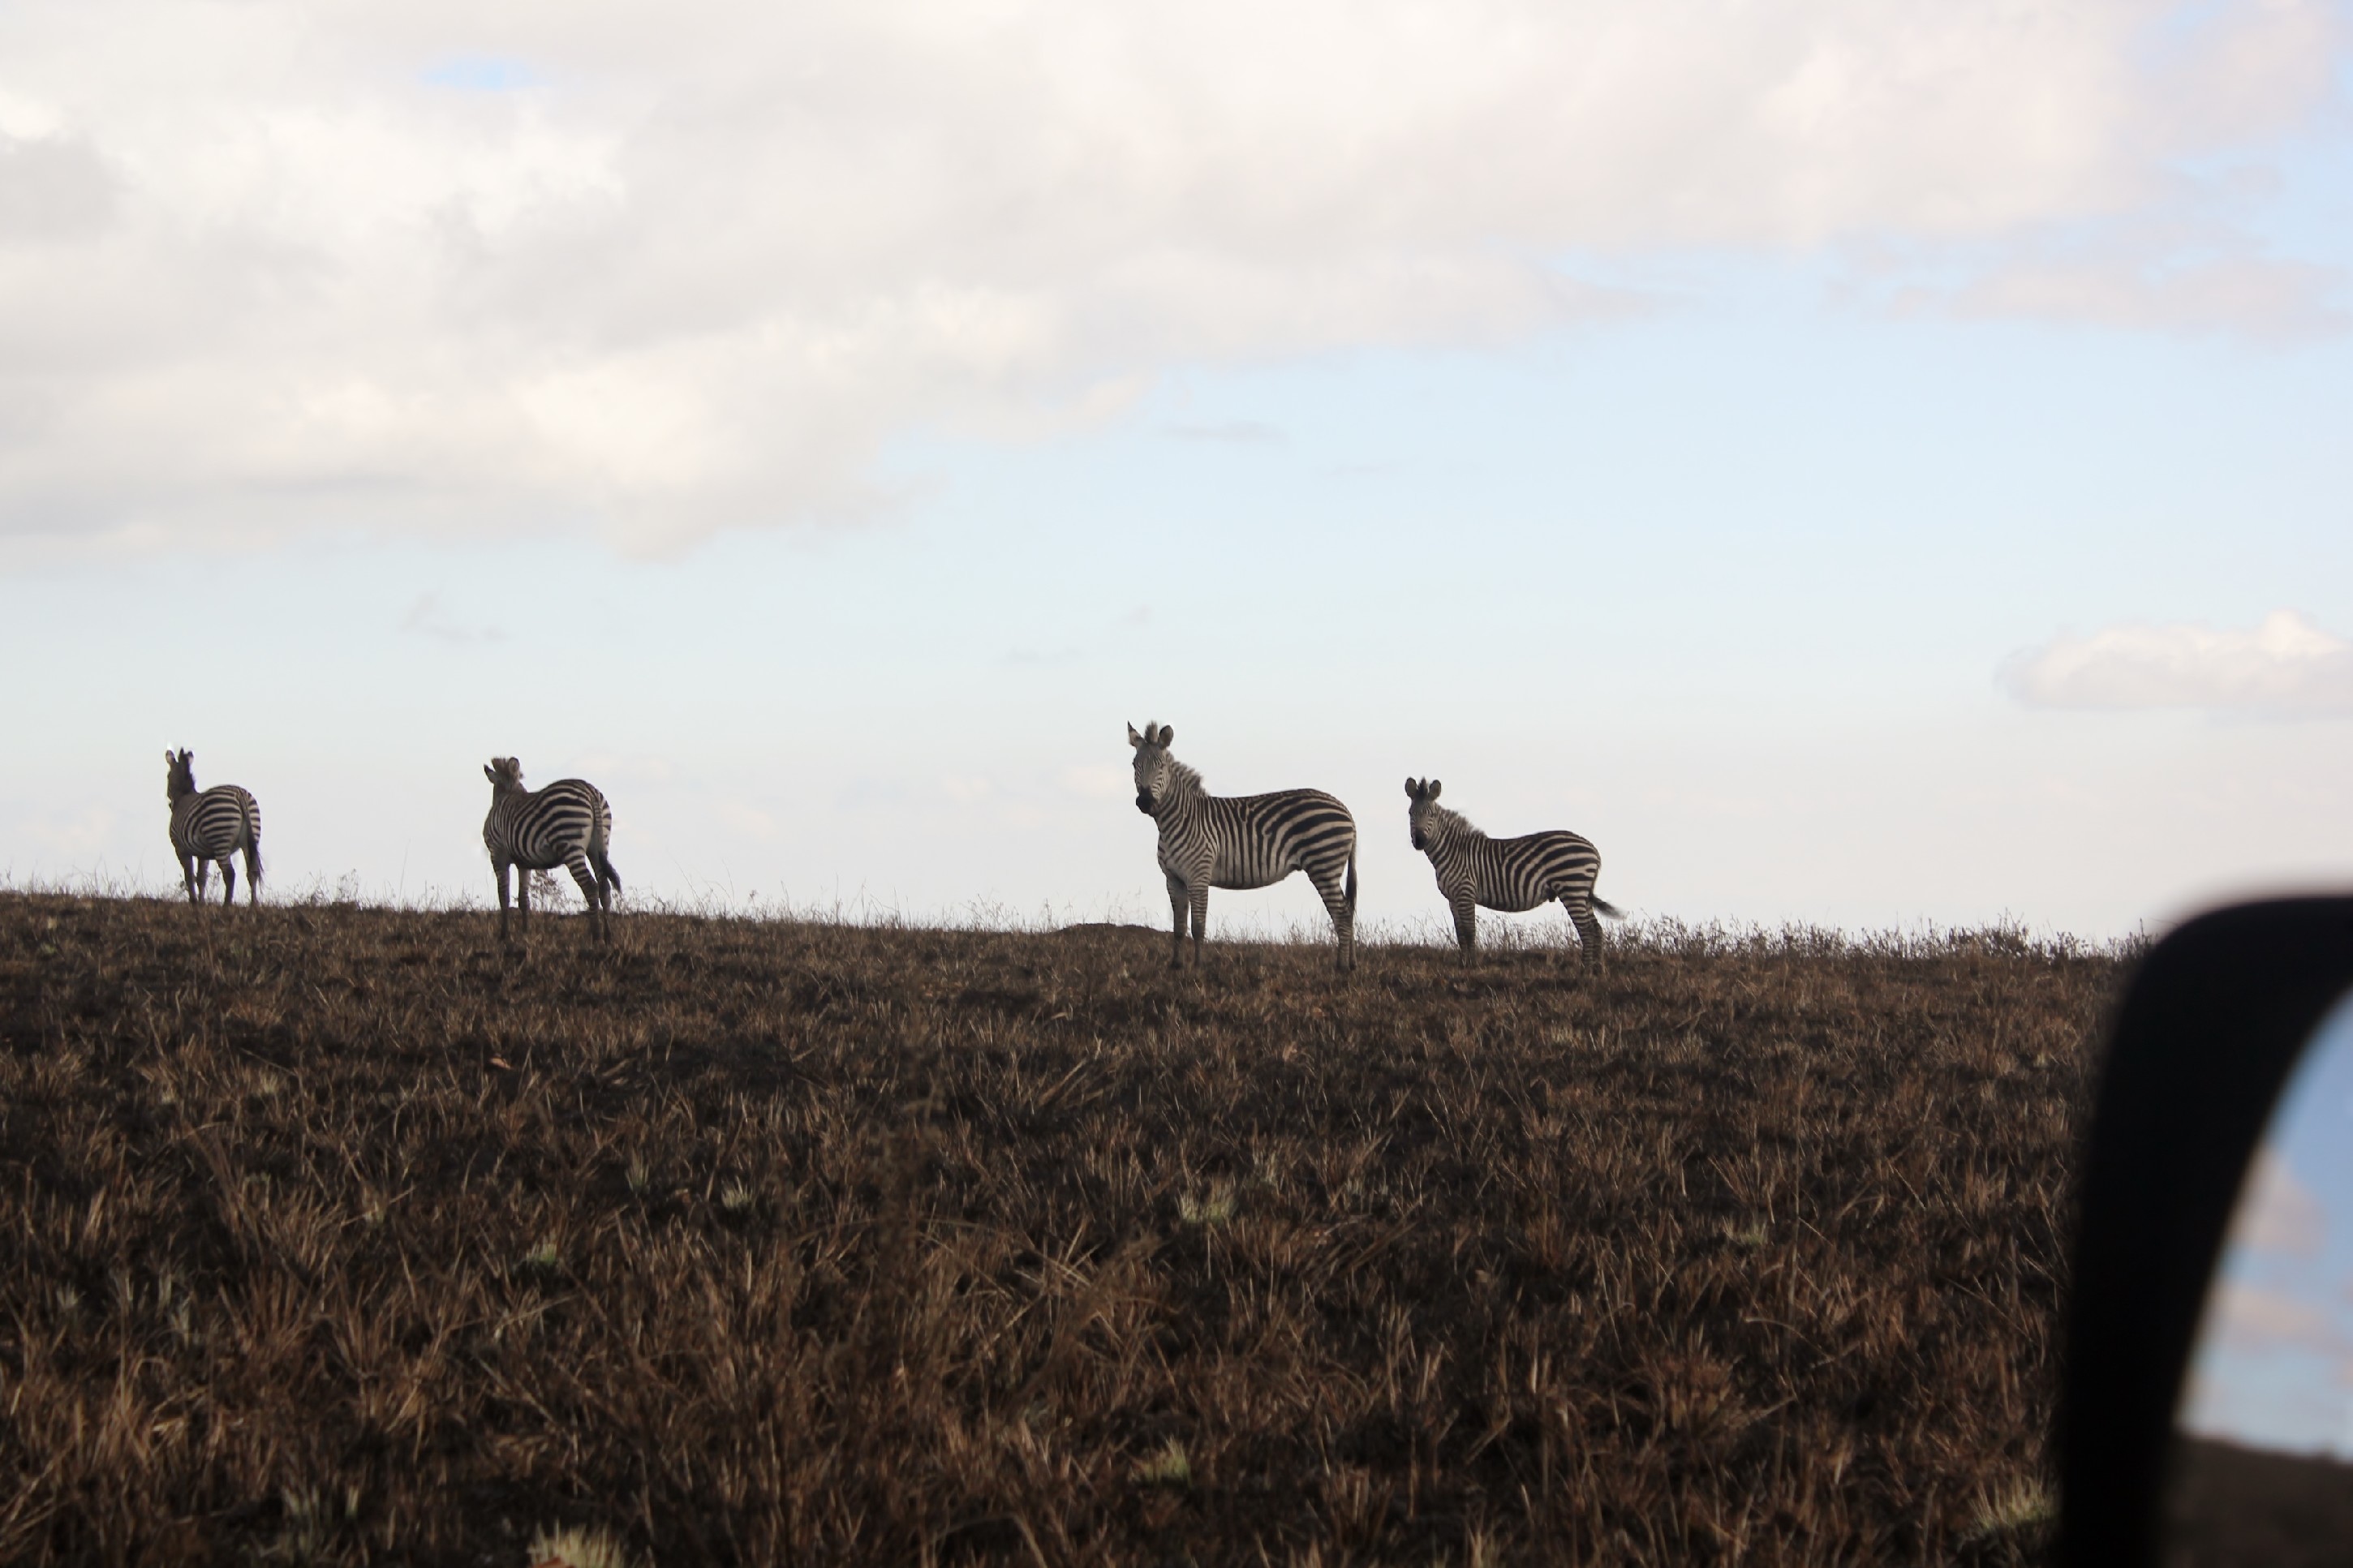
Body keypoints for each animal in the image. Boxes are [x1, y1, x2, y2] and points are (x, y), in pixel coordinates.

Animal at [163, 747, 262, 907]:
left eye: (168, 776)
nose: (170, 805)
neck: (184, 795)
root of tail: (240, 794)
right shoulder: (203, 853)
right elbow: (201, 878)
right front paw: (201, 903)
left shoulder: (180, 848)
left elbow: (189, 876)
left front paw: (194, 902)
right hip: (251, 839)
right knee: (252, 871)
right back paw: (253, 905)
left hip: (219, 836)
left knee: (229, 874)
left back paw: (226, 905)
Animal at [480, 761, 621, 945]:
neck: (507, 793)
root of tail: (590, 792)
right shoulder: (523, 863)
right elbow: (524, 899)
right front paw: (525, 933)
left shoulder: (497, 855)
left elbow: (503, 895)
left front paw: (504, 936)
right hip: (599, 846)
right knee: (604, 886)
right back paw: (608, 937)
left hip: (570, 842)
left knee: (590, 886)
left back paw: (596, 937)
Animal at [1125, 724, 1365, 968]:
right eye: (1135, 765)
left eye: (1161, 766)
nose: (1145, 802)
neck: (1178, 819)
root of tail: (1345, 810)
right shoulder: (1173, 879)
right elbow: (1179, 928)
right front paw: (1176, 966)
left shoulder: (1198, 875)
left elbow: (1198, 926)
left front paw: (1198, 966)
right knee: (1348, 910)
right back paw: (1352, 964)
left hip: (1323, 865)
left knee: (1342, 914)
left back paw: (1341, 967)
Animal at [1392, 775, 1619, 968]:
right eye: (1411, 813)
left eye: (1431, 814)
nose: (1419, 841)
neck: (1452, 851)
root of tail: (1593, 849)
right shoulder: (1453, 898)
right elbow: (1460, 933)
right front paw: (1463, 965)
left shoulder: (1466, 892)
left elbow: (1470, 930)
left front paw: (1472, 966)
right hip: (1581, 891)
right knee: (1596, 928)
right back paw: (1598, 970)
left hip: (1572, 888)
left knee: (1587, 930)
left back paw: (1585, 971)